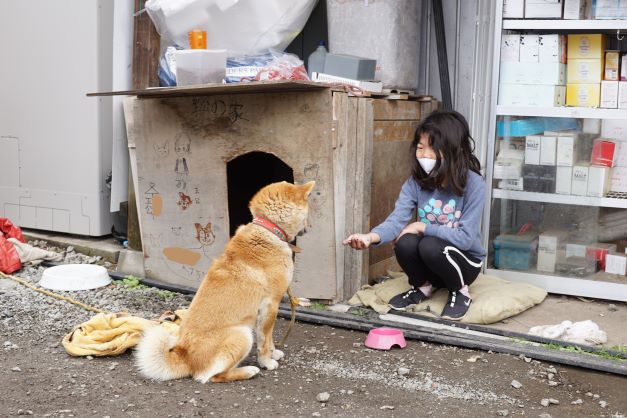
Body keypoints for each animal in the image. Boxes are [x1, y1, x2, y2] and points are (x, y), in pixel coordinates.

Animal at [136, 181, 316, 384]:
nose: (310, 226)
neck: (268, 230)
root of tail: (185, 357)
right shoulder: (271, 304)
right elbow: (264, 340)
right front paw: (267, 362)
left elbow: (269, 339)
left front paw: (273, 353)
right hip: (242, 334)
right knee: (211, 376)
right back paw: (249, 370)